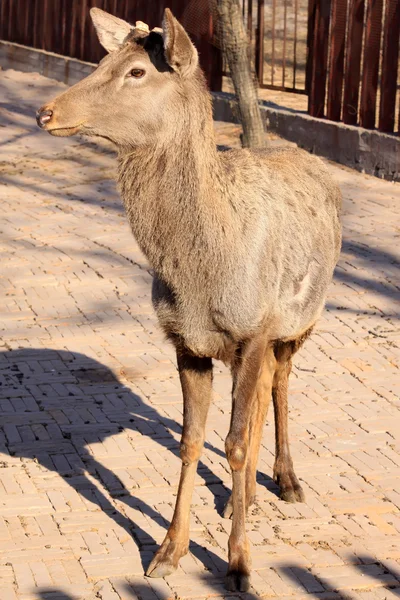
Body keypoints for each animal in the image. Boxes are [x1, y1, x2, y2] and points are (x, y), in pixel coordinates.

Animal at [36, 8, 342, 592]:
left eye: (136, 71)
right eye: (102, 60)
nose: (47, 111)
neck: (202, 278)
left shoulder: (256, 330)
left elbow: (235, 442)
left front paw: (240, 565)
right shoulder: (187, 342)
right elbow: (191, 441)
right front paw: (168, 551)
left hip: (302, 319)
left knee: (281, 382)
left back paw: (287, 481)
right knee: (262, 390)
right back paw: (244, 497)